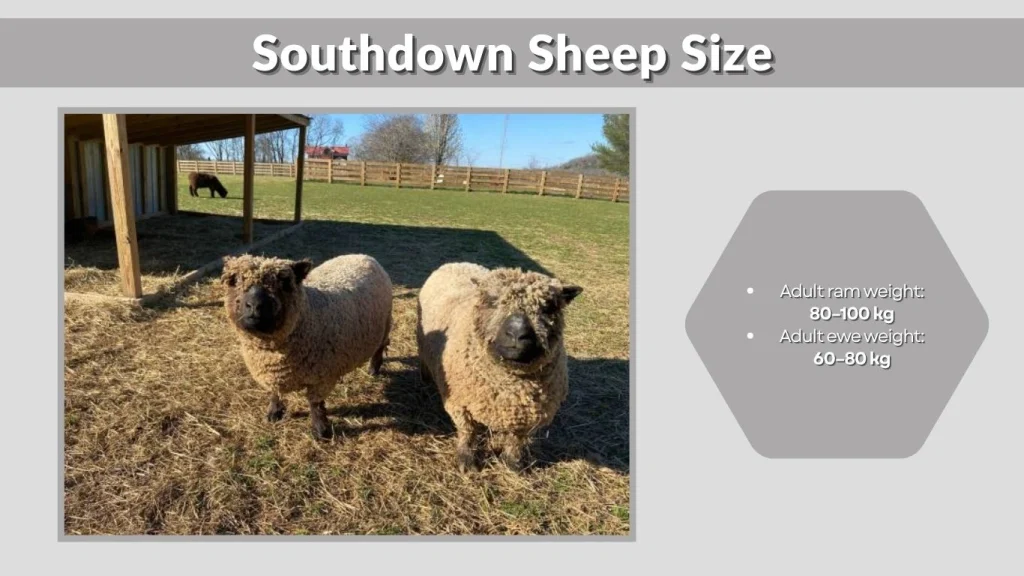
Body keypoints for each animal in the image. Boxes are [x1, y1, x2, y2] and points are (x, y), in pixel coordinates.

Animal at [220, 253, 393, 440]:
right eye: (234, 280)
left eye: (284, 283)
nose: (254, 306)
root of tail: (361, 255)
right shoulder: (271, 373)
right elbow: (275, 392)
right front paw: (274, 413)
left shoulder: (320, 378)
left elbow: (316, 405)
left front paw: (321, 431)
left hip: (385, 324)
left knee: (380, 347)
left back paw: (373, 369)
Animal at [416, 262, 583, 472]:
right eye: (492, 300)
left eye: (548, 307)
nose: (517, 334)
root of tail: (456, 263)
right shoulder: (458, 402)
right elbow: (468, 432)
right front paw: (466, 461)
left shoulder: (526, 417)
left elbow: (516, 440)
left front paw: (513, 464)